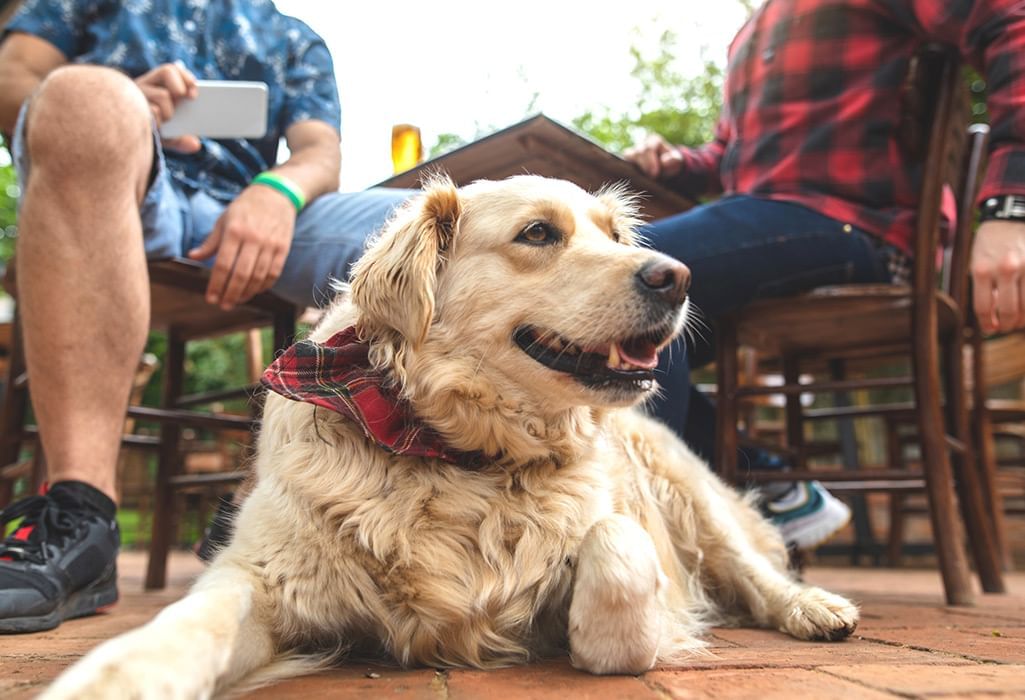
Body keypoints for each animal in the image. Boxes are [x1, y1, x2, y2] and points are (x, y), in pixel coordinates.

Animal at [39, 174, 856, 696]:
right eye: (538, 233)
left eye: (614, 235)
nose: (678, 277)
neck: (457, 453)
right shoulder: (263, 574)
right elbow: (184, 625)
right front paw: (117, 679)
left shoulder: (618, 531)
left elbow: (616, 557)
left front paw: (619, 629)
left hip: (688, 491)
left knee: (753, 570)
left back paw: (813, 609)